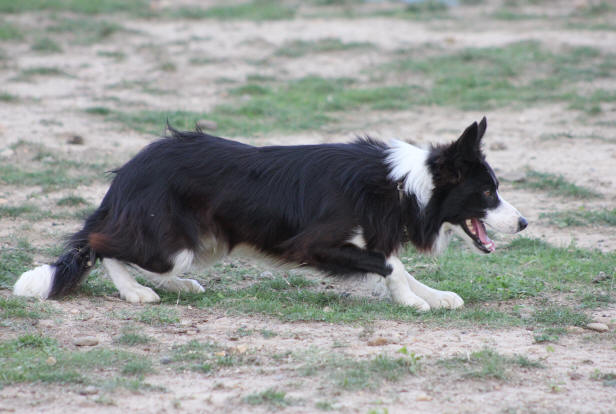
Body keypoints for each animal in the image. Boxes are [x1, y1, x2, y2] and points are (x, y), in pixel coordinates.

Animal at [13, 116, 524, 310]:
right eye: (488, 192)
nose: (524, 223)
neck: (405, 184)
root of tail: (128, 171)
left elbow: (398, 265)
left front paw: (433, 295)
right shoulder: (315, 243)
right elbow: (391, 266)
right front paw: (413, 301)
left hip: (202, 243)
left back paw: (178, 286)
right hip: (171, 243)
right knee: (102, 244)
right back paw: (136, 292)